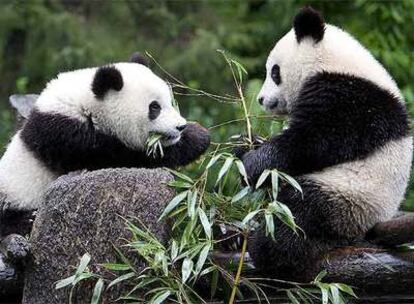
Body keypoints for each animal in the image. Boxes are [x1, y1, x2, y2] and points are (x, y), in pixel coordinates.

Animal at [0, 52, 210, 238]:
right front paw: (197, 137)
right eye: (154, 107)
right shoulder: (68, 138)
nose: (180, 126)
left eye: (170, 101)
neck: (86, 105)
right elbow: (128, 157)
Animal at [241, 7, 412, 282]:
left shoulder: (350, 100)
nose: (261, 99)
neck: (332, 62)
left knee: (299, 214)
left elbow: (309, 142)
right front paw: (245, 146)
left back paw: (266, 249)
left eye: (274, 72)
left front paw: (252, 164)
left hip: (348, 197)